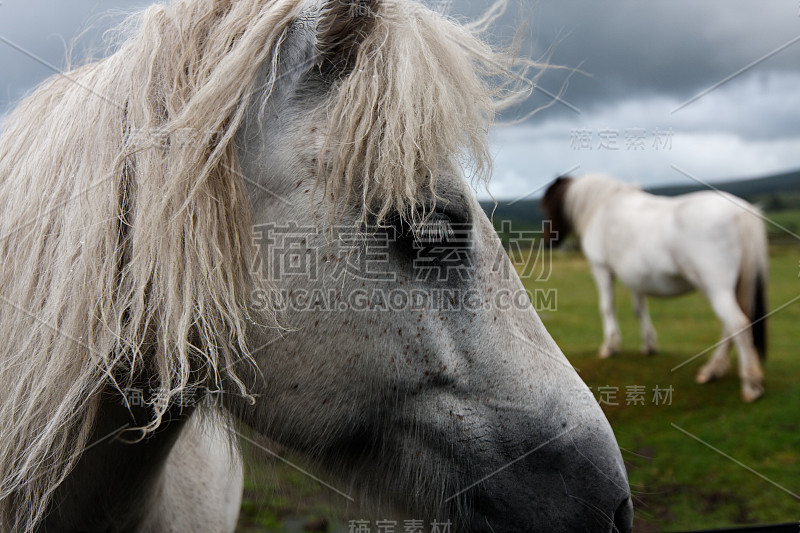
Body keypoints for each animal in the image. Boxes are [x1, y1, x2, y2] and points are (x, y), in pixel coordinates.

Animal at [544, 172, 768, 402]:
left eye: (548, 204)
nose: (548, 241)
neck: (602, 206)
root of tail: (740, 211)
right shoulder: (635, 279)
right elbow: (639, 309)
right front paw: (649, 345)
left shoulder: (601, 269)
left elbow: (607, 307)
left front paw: (610, 346)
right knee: (730, 327)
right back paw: (713, 370)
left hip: (717, 289)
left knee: (738, 324)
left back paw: (750, 384)